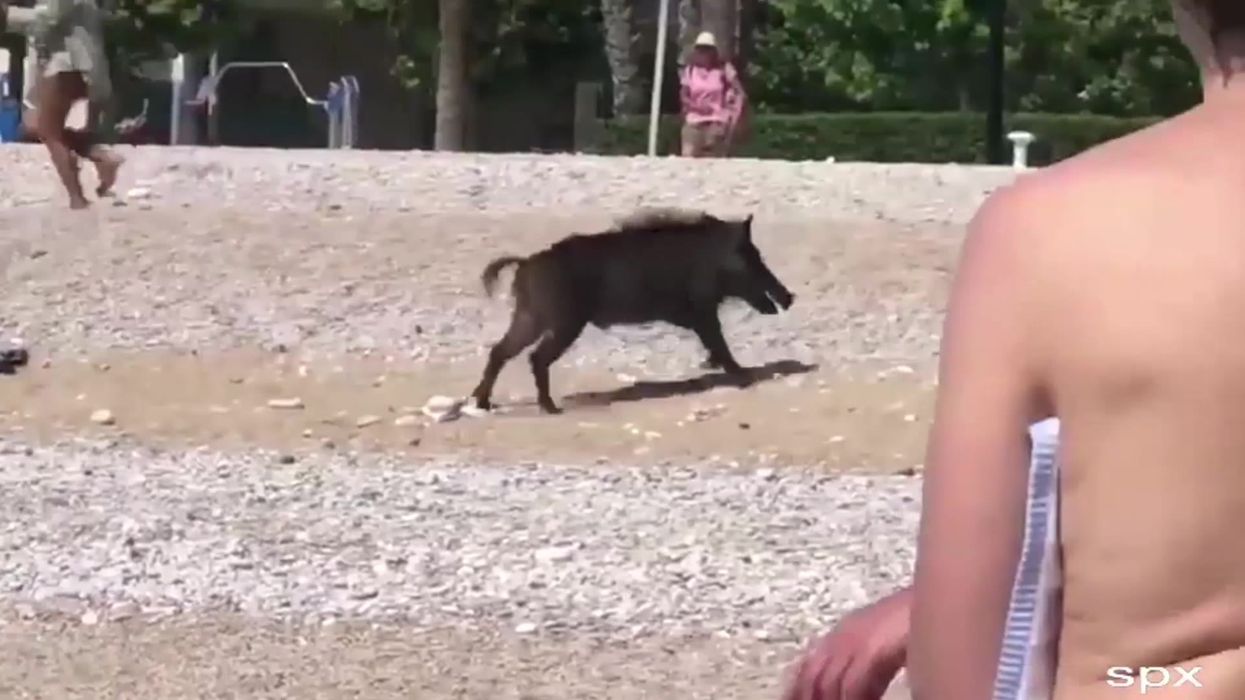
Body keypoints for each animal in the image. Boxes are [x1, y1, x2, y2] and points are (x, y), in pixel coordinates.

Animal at [470, 209, 795, 414]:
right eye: (752, 256)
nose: (789, 297)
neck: (710, 258)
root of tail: (525, 263)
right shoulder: (702, 311)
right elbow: (720, 343)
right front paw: (744, 377)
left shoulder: (695, 315)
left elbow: (714, 344)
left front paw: (712, 367)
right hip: (564, 322)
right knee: (535, 357)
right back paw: (550, 409)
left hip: (530, 317)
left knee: (499, 351)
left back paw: (483, 404)